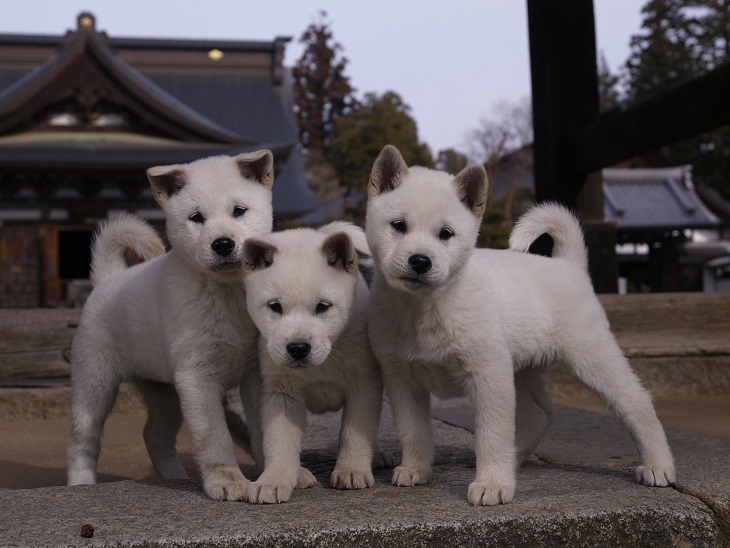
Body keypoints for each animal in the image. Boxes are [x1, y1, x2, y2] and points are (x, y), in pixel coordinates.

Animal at [67, 151, 272, 500]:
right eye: (196, 218)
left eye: (239, 211)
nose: (222, 244)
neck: (226, 294)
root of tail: (108, 279)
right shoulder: (197, 376)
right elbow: (215, 436)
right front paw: (227, 481)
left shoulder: (255, 374)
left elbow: (267, 430)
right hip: (94, 381)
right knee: (83, 438)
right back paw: (80, 484)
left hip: (165, 391)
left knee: (155, 435)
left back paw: (176, 478)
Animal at [242, 220, 390, 504]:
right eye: (275, 307)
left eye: (323, 307)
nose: (298, 348)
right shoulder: (281, 393)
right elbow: (279, 440)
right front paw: (273, 481)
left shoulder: (364, 383)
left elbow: (355, 430)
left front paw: (352, 470)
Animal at [366, 144, 672, 506]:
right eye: (398, 226)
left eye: (445, 234)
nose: (420, 261)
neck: (425, 308)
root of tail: (570, 266)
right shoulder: (401, 379)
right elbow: (412, 431)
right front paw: (416, 469)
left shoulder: (489, 374)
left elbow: (492, 435)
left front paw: (493, 484)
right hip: (525, 370)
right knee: (541, 416)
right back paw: (515, 459)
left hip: (592, 357)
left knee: (636, 400)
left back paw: (658, 465)